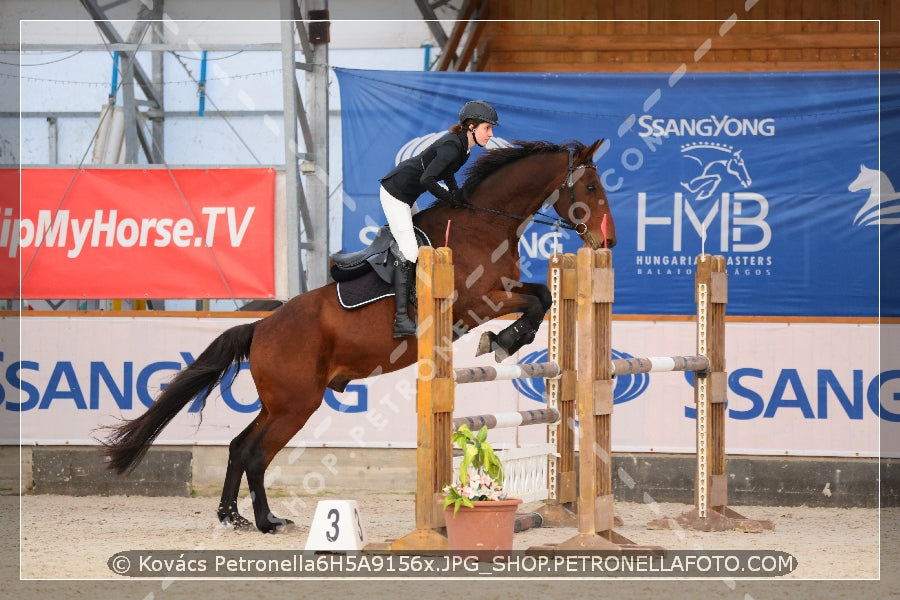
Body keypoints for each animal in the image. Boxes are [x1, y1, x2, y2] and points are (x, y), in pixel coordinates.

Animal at [100, 138, 620, 532]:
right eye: (591, 186)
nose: (607, 242)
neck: (485, 222)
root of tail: (261, 326)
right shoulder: (479, 302)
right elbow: (535, 302)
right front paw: (504, 341)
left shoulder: (502, 290)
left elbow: (543, 295)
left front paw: (509, 339)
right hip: (296, 404)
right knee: (254, 453)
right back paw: (266, 521)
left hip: (280, 403)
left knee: (238, 447)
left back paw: (234, 518)